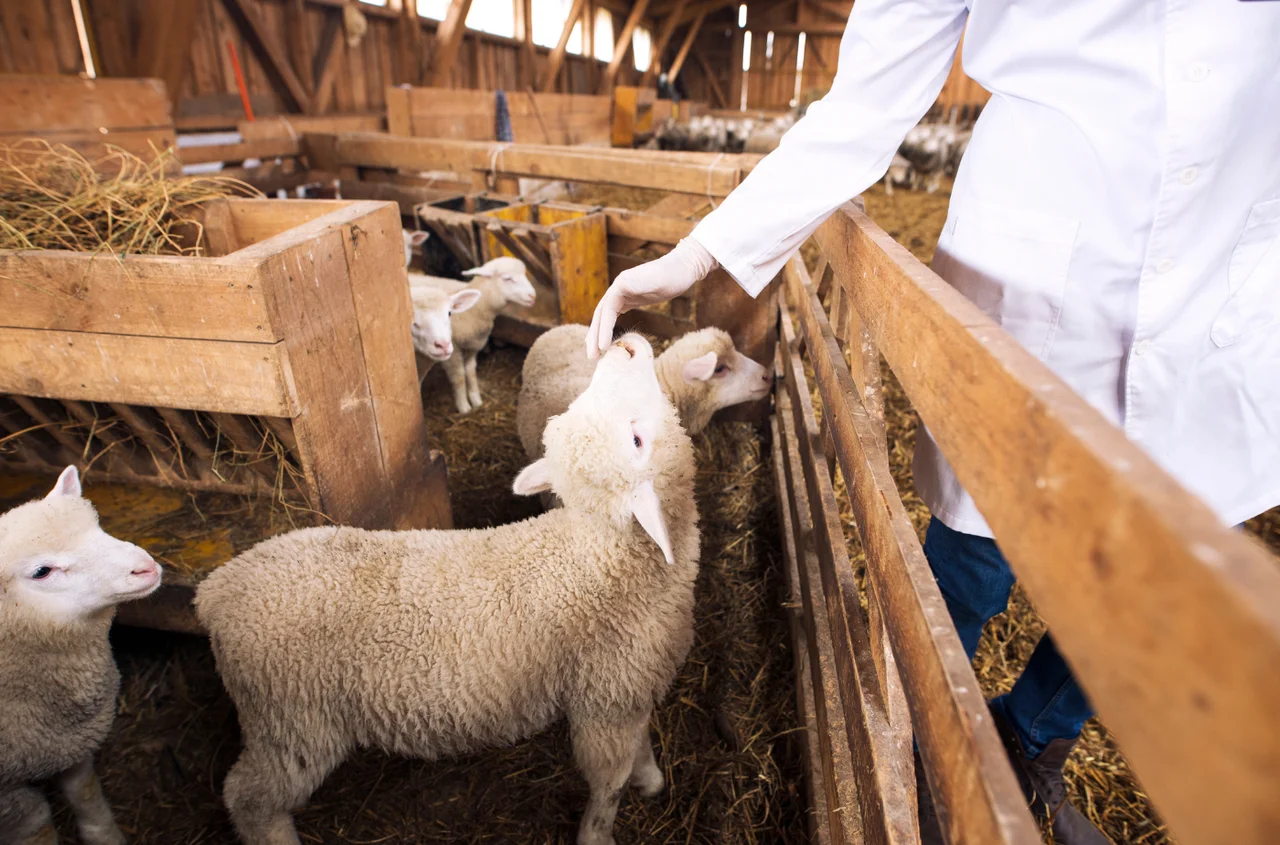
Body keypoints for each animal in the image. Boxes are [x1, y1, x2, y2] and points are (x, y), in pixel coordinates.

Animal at [0, 468, 162, 845]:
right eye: (42, 571)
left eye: (98, 525)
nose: (145, 568)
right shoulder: (10, 797)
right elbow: (37, 825)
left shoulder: (69, 742)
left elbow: (84, 791)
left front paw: (105, 836)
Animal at [197, 332, 701, 845]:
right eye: (636, 440)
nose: (624, 346)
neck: (601, 554)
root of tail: (216, 589)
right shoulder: (605, 701)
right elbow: (608, 783)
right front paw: (599, 831)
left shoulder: (633, 687)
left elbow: (641, 743)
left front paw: (650, 778)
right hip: (292, 720)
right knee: (248, 798)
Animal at [412, 257, 537, 414]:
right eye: (508, 279)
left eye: (449, 313)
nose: (533, 296)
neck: (477, 308)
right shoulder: (454, 351)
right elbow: (459, 376)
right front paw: (464, 406)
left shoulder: (472, 346)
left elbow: (471, 373)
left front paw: (476, 400)